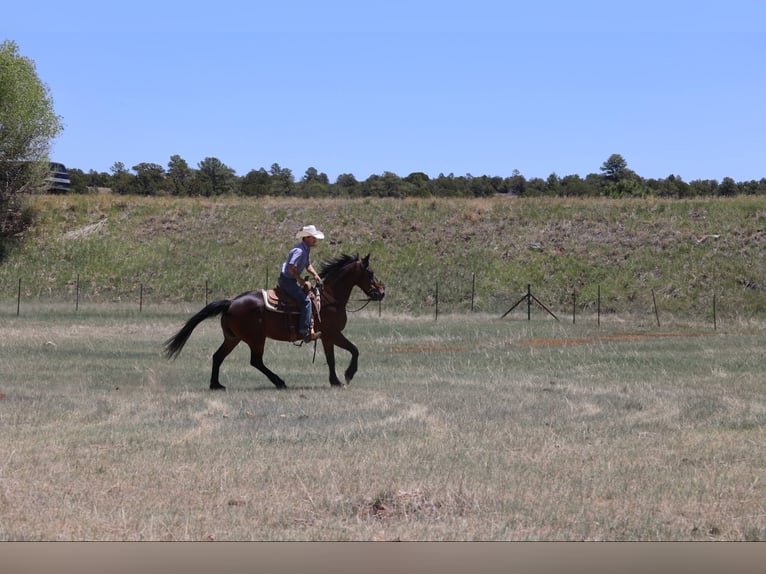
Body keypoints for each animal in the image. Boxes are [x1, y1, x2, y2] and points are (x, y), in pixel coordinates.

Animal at [163, 253, 385, 390]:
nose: (382, 292)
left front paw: (335, 381)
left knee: (218, 357)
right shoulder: (333, 334)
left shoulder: (326, 337)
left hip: (232, 338)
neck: (329, 298)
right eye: (371, 273)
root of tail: (231, 302)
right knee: (256, 361)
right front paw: (348, 375)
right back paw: (279, 381)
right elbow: (354, 350)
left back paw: (216, 385)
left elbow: (331, 358)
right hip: (256, 339)